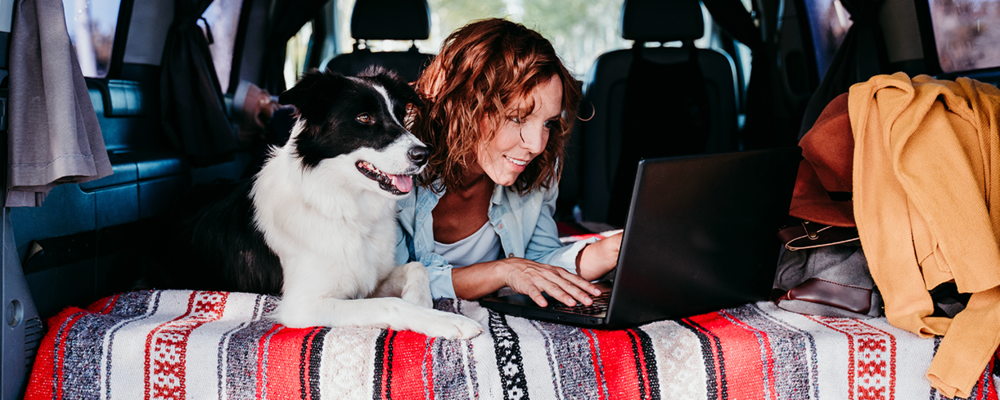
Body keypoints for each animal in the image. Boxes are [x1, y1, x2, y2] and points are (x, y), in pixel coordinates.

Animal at [144, 69, 480, 340]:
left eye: (400, 114)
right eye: (364, 118)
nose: (424, 154)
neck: (342, 207)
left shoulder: (370, 278)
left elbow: (416, 268)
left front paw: (422, 303)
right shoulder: (303, 306)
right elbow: (392, 304)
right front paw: (443, 321)